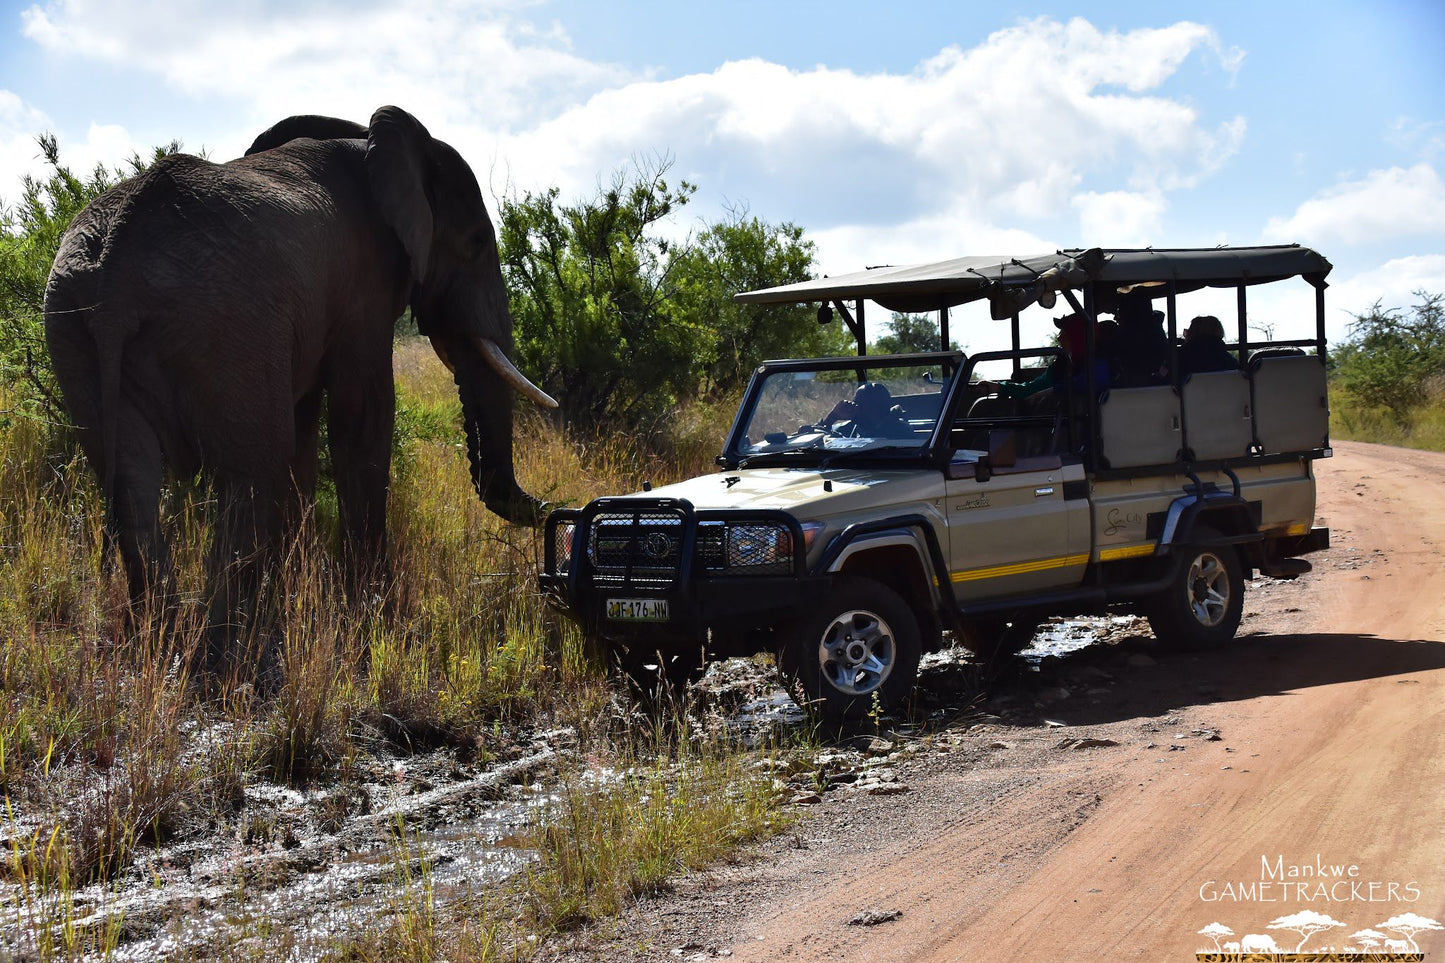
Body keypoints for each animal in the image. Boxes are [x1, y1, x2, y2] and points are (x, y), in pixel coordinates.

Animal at [43, 108, 551, 656]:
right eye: (477, 243)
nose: (555, 508)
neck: (376, 142)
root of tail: (114, 269)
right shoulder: (365, 287)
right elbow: (362, 419)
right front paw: (373, 609)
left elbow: (306, 430)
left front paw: (303, 582)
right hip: (226, 319)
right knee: (251, 469)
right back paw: (226, 650)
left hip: (73, 328)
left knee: (130, 482)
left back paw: (164, 643)